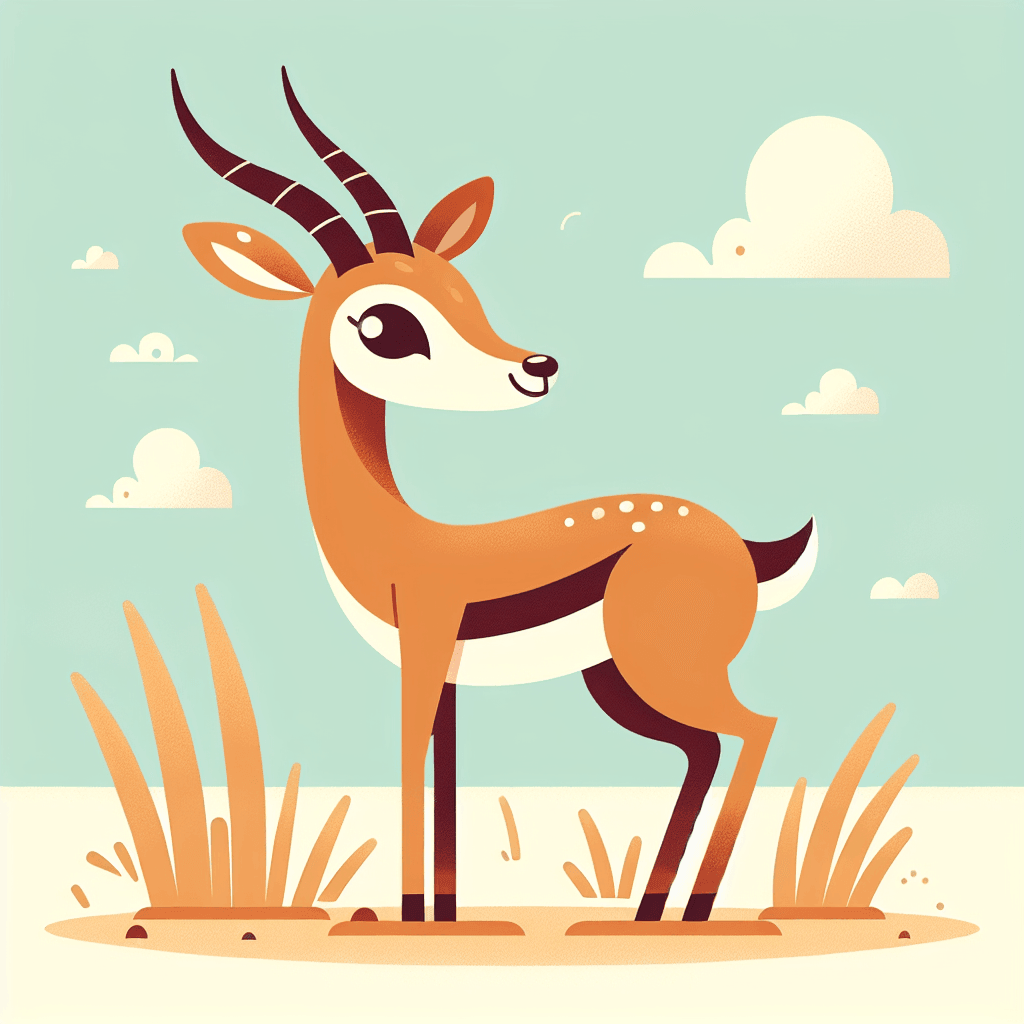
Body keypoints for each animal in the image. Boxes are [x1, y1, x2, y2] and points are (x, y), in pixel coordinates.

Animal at [172, 68, 817, 933]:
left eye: (458, 289)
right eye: (383, 324)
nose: (533, 367)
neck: (391, 534)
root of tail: (742, 543)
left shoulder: (421, 653)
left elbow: (407, 760)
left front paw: (404, 918)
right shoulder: (444, 676)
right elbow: (442, 776)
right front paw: (438, 918)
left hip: (664, 670)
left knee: (754, 728)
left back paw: (691, 914)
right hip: (617, 679)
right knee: (704, 747)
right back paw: (647, 914)